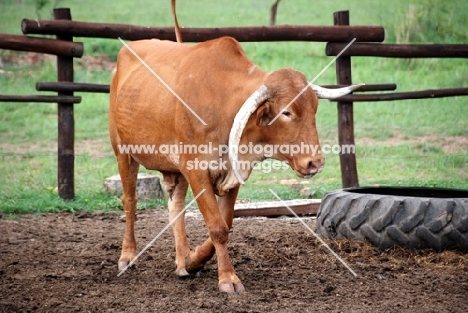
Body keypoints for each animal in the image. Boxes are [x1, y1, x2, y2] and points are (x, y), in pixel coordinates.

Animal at [109, 0, 362, 292]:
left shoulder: (233, 171)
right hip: (123, 152)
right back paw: (127, 256)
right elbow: (217, 226)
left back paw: (182, 259)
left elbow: (226, 223)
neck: (223, 101)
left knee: (175, 207)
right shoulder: (196, 171)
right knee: (130, 201)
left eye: (314, 108)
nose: (315, 162)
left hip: (174, 170)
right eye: (286, 112)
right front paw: (228, 278)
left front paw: (194, 260)